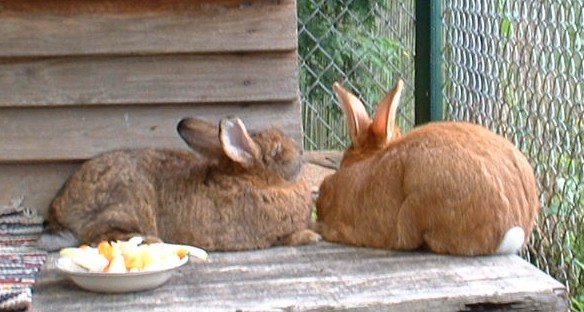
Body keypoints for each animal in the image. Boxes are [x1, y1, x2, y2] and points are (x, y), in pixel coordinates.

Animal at [37, 116, 320, 251]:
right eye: (278, 151)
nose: (301, 152)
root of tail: (58, 210)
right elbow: (289, 237)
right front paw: (312, 236)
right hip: (128, 204)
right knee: (96, 236)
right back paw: (150, 241)